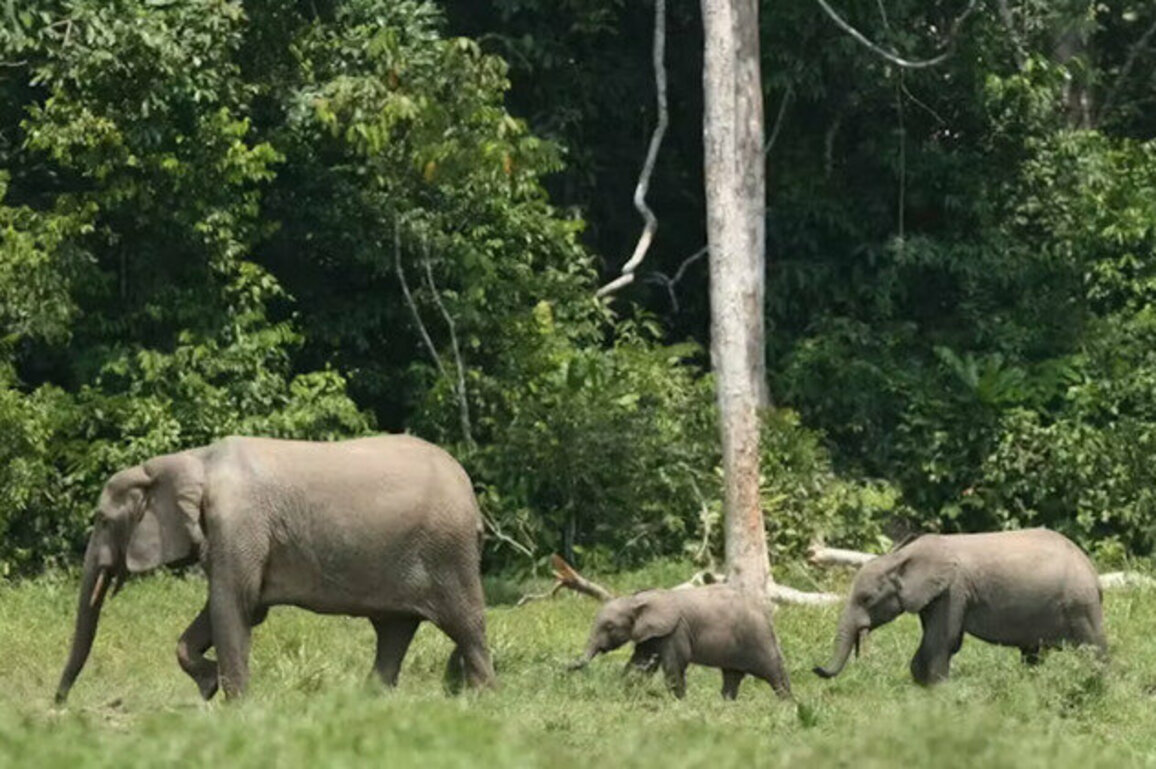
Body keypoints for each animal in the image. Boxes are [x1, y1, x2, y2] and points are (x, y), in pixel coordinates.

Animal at [55, 434, 496, 703]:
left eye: (102, 521)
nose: (59, 705)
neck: (190, 461)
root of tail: (469, 491)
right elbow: (238, 609)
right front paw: (209, 686)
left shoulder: (238, 523)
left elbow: (233, 605)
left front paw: (235, 707)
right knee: (393, 630)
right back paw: (365, 703)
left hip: (448, 553)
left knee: (466, 624)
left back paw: (479, 701)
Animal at [568, 584, 792, 700]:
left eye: (609, 627)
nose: (565, 668)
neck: (637, 600)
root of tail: (765, 612)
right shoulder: (651, 634)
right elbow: (639, 664)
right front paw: (625, 693)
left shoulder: (676, 630)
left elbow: (675, 665)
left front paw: (679, 703)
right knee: (732, 677)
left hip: (758, 637)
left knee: (773, 673)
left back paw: (788, 706)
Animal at [813, 528, 1107, 686]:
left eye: (867, 599)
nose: (815, 670)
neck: (900, 557)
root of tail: (1092, 570)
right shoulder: (933, 596)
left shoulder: (953, 591)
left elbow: (943, 641)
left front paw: (937, 693)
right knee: (1032, 654)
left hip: (1080, 604)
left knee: (1095, 649)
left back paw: (1097, 687)